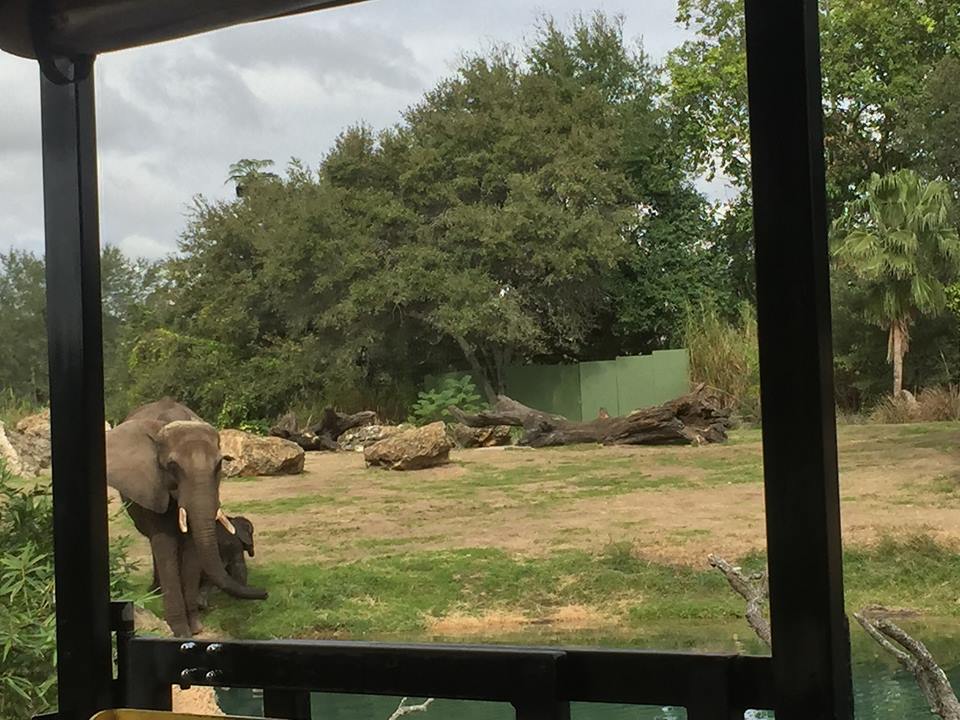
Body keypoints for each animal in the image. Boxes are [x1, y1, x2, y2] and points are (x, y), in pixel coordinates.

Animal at [107, 400, 267, 637]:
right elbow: (164, 543)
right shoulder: (154, 485)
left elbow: (192, 547)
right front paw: (181, 632)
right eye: (173, 466)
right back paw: (155, 591)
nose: (265, 593)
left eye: (219, 465)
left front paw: (196, 628)